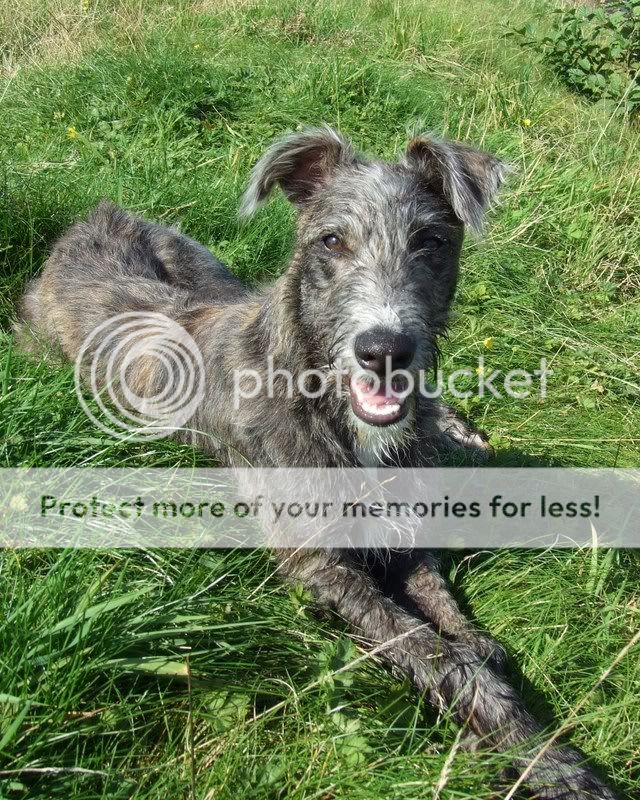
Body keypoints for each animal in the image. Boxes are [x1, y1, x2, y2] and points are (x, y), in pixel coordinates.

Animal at [16, 128, 620, 796]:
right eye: (331, 240)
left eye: (431, 241)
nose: (384, 350)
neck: (329, 408)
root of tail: (95, 218)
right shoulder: (317, 563)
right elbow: (431, 651)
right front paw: (550, 760)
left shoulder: (403, 531)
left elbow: (444, 609)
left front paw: (481, 653)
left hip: (209, 267)